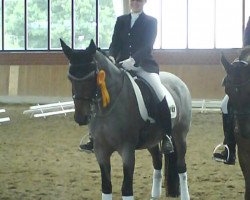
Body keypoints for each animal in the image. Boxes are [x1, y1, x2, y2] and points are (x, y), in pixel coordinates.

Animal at [60, 38, 191, 199]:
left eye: (92, 77)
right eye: (70, 78)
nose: (81, 117)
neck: (108, 108)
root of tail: (178, 82)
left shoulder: (127, 150)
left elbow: (127, 189)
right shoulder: (100, 151)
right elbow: (106, 186)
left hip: (180, 135)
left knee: (181, 166)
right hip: (152, 140)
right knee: (157, 163)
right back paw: (154, 195)